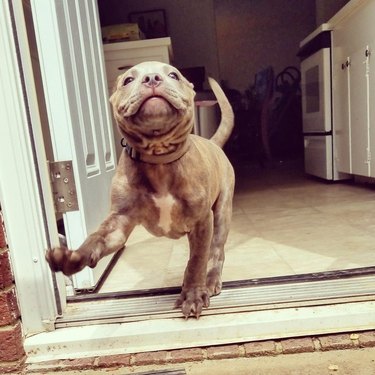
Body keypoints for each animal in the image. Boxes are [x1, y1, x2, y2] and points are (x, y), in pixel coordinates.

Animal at [46, 62, 235, 320]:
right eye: (127, 80)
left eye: (173, 74)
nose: (152, 78)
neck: (159, 158)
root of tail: (212, 143)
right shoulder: (118, 222)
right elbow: (96, 238)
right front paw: (73, 257)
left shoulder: (201, 221)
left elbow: (197, 260)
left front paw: (194, 295)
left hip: (222, 212)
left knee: (215, 250)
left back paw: (211, 279)